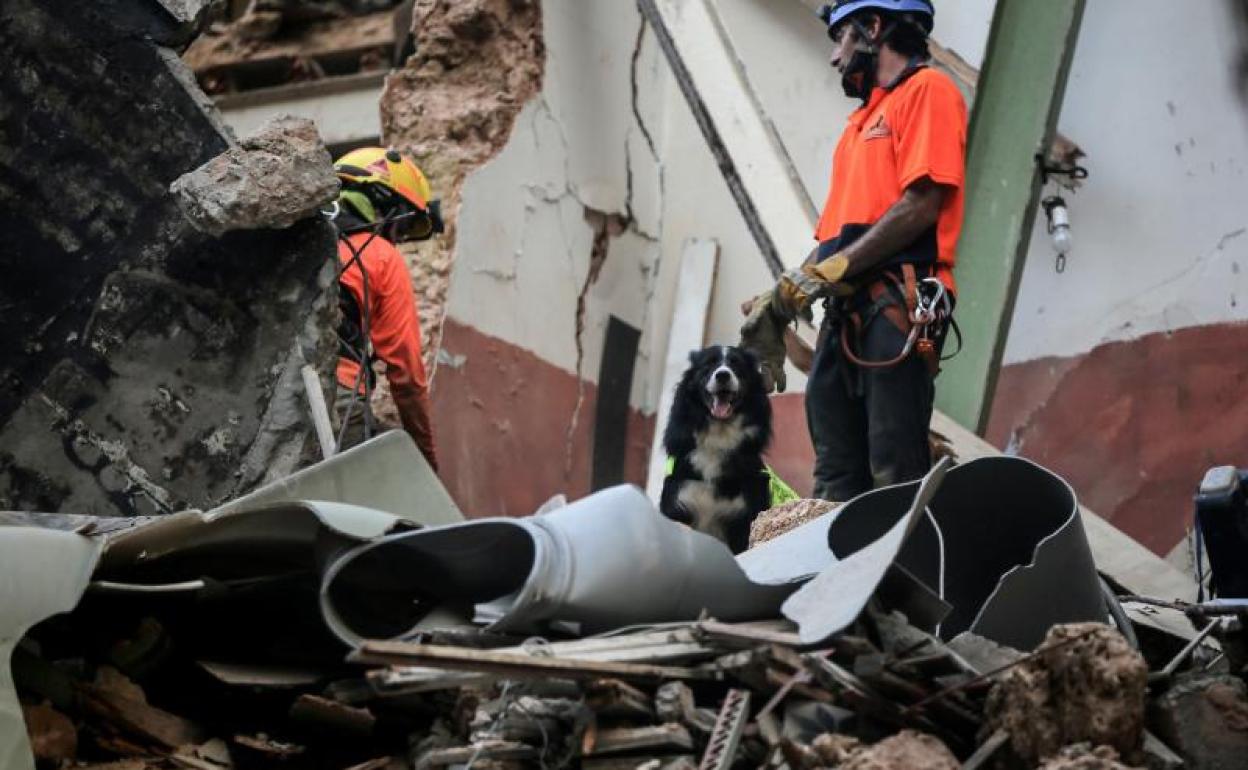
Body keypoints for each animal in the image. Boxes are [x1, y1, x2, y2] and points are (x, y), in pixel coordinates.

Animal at [663, 344, 768, 551]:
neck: (719, 433)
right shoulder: (679, 494)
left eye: (736, 365)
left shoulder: (746, 505)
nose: (723, 375)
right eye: (708, 366)